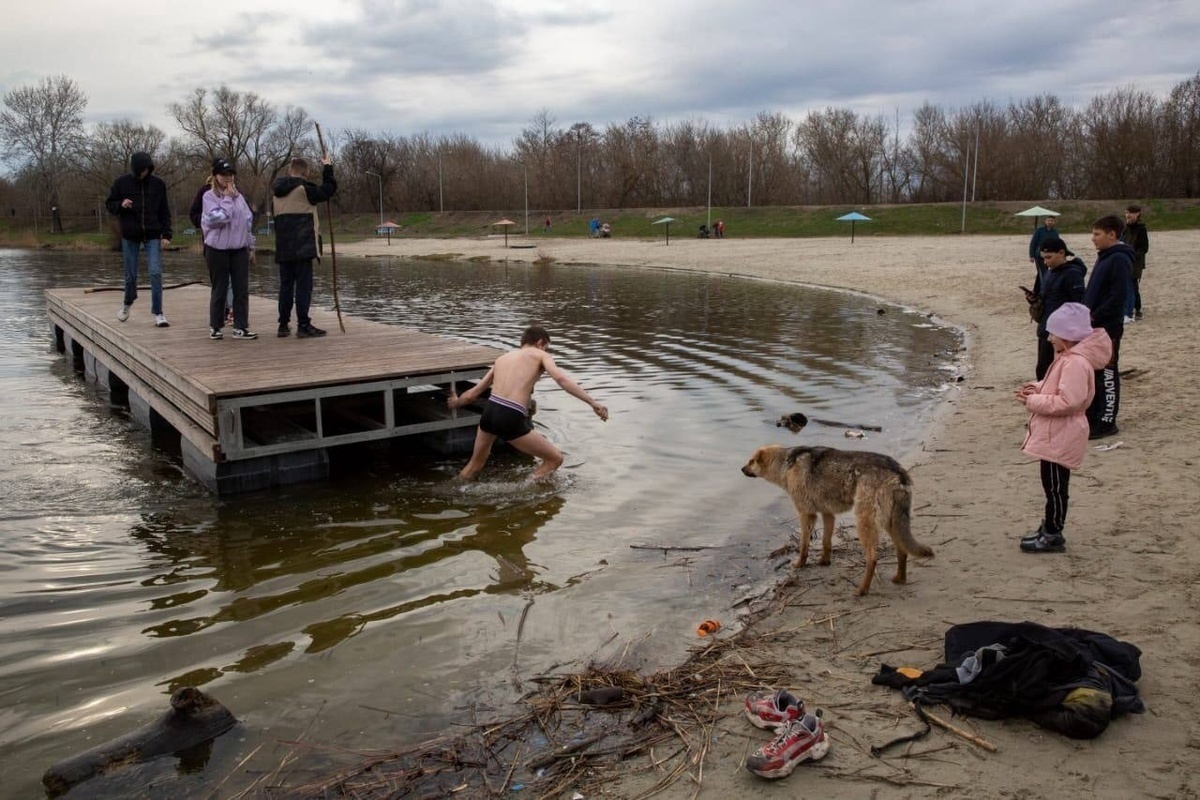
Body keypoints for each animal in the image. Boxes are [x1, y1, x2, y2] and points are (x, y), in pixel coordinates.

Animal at [744, 443, 931, 594]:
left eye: (751, 461)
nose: (741, 469)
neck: (787, 463)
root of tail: (897, 471)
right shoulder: (828, 515)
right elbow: (826, 543)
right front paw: (824, 561)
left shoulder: (807, 514)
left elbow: (803, 545)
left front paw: (800, 564)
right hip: (890, 522)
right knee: (902, 551)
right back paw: (900, 579)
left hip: (865, 522)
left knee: (872, 558)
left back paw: (862, 590)